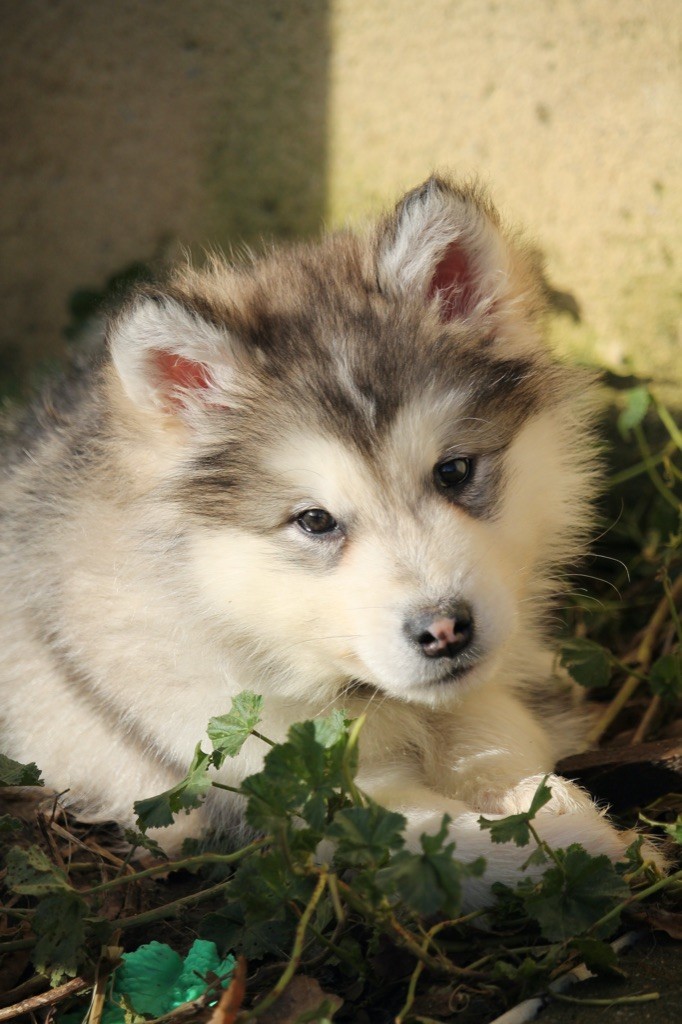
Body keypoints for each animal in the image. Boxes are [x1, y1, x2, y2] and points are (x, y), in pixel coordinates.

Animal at [1, 178, 630, 905]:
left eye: (453, 471)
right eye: (316, 521)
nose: (446, 631)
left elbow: (496, 734)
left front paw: (528, 785)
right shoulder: (291, 796)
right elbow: (447, 846)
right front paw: (583, 838)